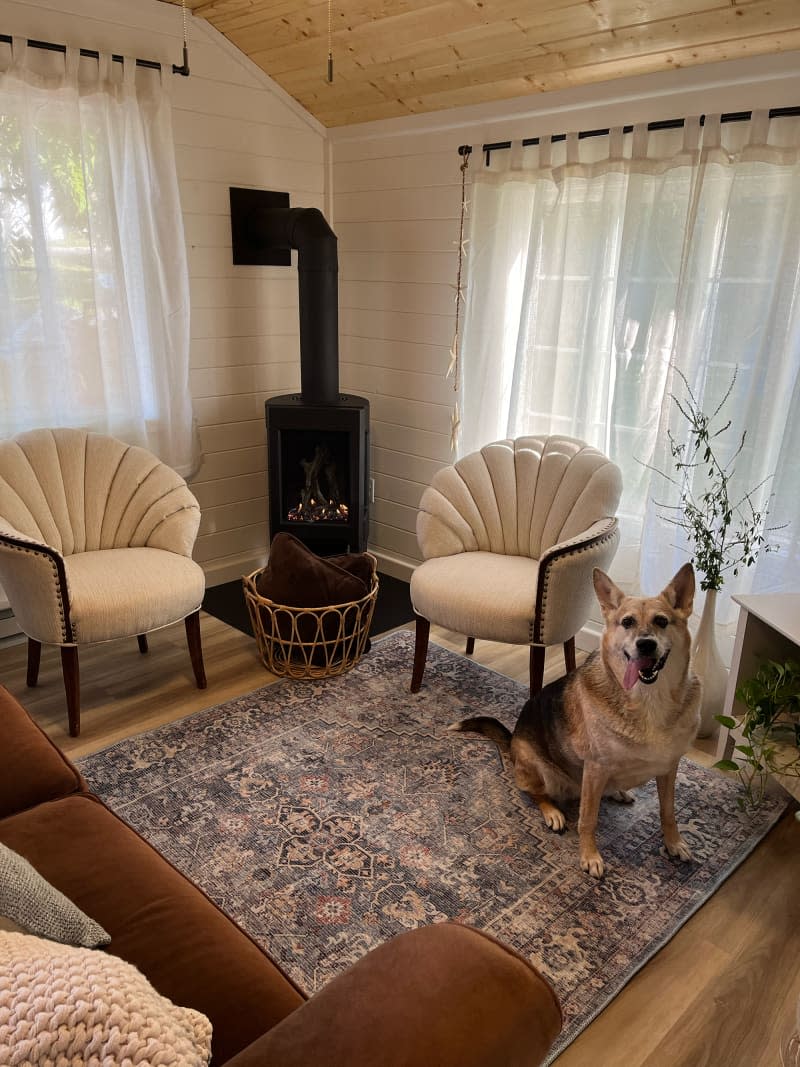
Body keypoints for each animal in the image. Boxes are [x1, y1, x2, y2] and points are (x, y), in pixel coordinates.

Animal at [452, 563, 699, 879]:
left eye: (662, 621)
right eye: (627, 622)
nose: (645, 645)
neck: (648, 701)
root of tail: (513, 741)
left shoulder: (668, 768)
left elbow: (668, 812)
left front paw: (673, 843)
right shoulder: (595, 769)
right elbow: (587, 819)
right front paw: (590, 856)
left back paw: (618, 792)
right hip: (541, 769)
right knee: (536, 793)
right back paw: (553, 813)